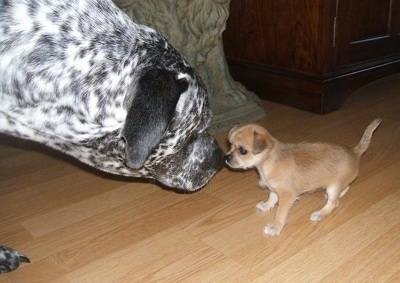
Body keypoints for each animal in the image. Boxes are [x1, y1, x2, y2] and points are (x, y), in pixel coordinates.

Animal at [227, 118, 382, 236]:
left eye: (243, 151)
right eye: (230, 145)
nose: (226, 158)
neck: (267, 162)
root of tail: (354, 152)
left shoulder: (286, 196)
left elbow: (280, 212)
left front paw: (275, 227)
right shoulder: (274, 189)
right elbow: (272, 197)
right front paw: (266, 206)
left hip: (333, 187)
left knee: (334, 203)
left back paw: (320, 213)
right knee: (346, 187)